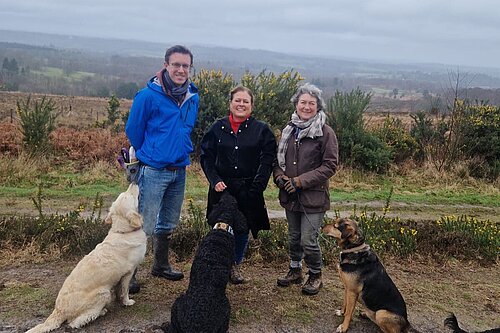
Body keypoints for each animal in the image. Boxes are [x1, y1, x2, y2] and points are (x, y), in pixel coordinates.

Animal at [25, 183, 146, 330]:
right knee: (75, 322)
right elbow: (125, 290)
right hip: (104, 293)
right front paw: (127, 302)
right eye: (130, 195)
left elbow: (119, 290)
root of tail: (59, 310)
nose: (133, 182)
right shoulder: (128, 272)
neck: (123, 232)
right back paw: (101, 312)